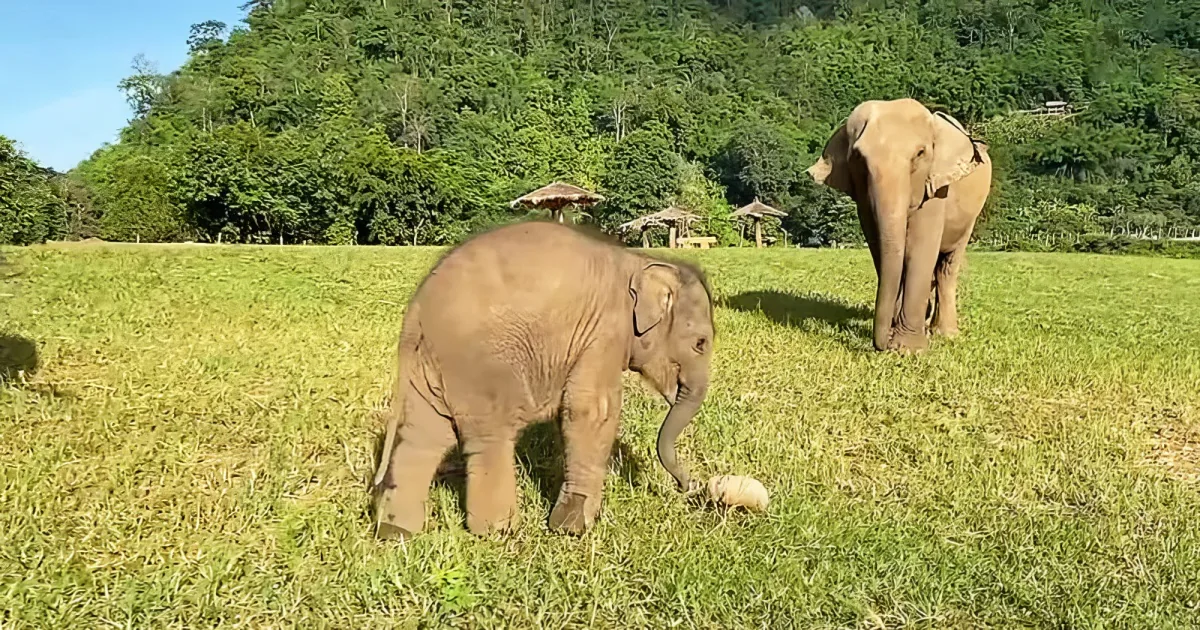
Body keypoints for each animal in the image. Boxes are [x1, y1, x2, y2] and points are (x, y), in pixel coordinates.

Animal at [371, 221, 715, 539]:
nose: (690, 486)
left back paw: (396, 531)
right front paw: (573, 527)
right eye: (701, 343)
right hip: (480, 368)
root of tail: (417, 307)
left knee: (421, 437)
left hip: (427, 366)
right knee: (488, 440)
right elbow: (592, 410)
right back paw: (498, 531)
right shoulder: (606, 331)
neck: (639, 262)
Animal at [807, 98, 992, 353]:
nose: (883, 344)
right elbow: (881, 247)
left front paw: (909, 350)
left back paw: (945, 334)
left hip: (970, 218)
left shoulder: (935, 187)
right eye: (858, 157)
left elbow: (918, 249)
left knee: (946, 267)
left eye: (920, 153)